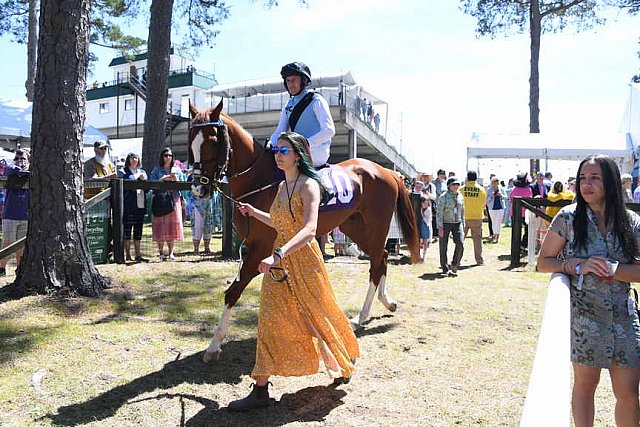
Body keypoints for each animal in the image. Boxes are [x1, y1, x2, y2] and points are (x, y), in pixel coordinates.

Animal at [190, 101, 420, 364]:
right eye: (190, 139)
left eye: (213, 140)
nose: (198, 188)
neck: (261, 182)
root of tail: (386, 171)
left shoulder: (260, 249)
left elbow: (232, 291)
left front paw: (214, 345)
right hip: (355, 227)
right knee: (381, 257)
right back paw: (386, 302)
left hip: (376, 225)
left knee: (375, 264)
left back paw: (360, 317)